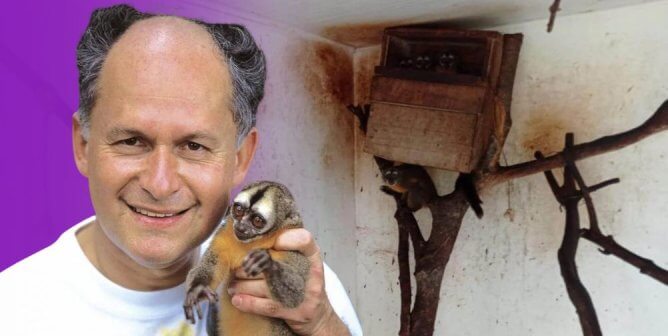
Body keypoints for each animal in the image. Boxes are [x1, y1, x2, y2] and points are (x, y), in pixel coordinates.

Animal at [183, 181, 308, 336]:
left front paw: (266, 263)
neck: (256, 241)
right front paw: (198, 289)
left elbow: (297, 296)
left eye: (257, 220)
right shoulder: (226, 231)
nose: (241, 227)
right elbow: (212, 263)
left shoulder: (292, 247)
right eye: (238, 210)